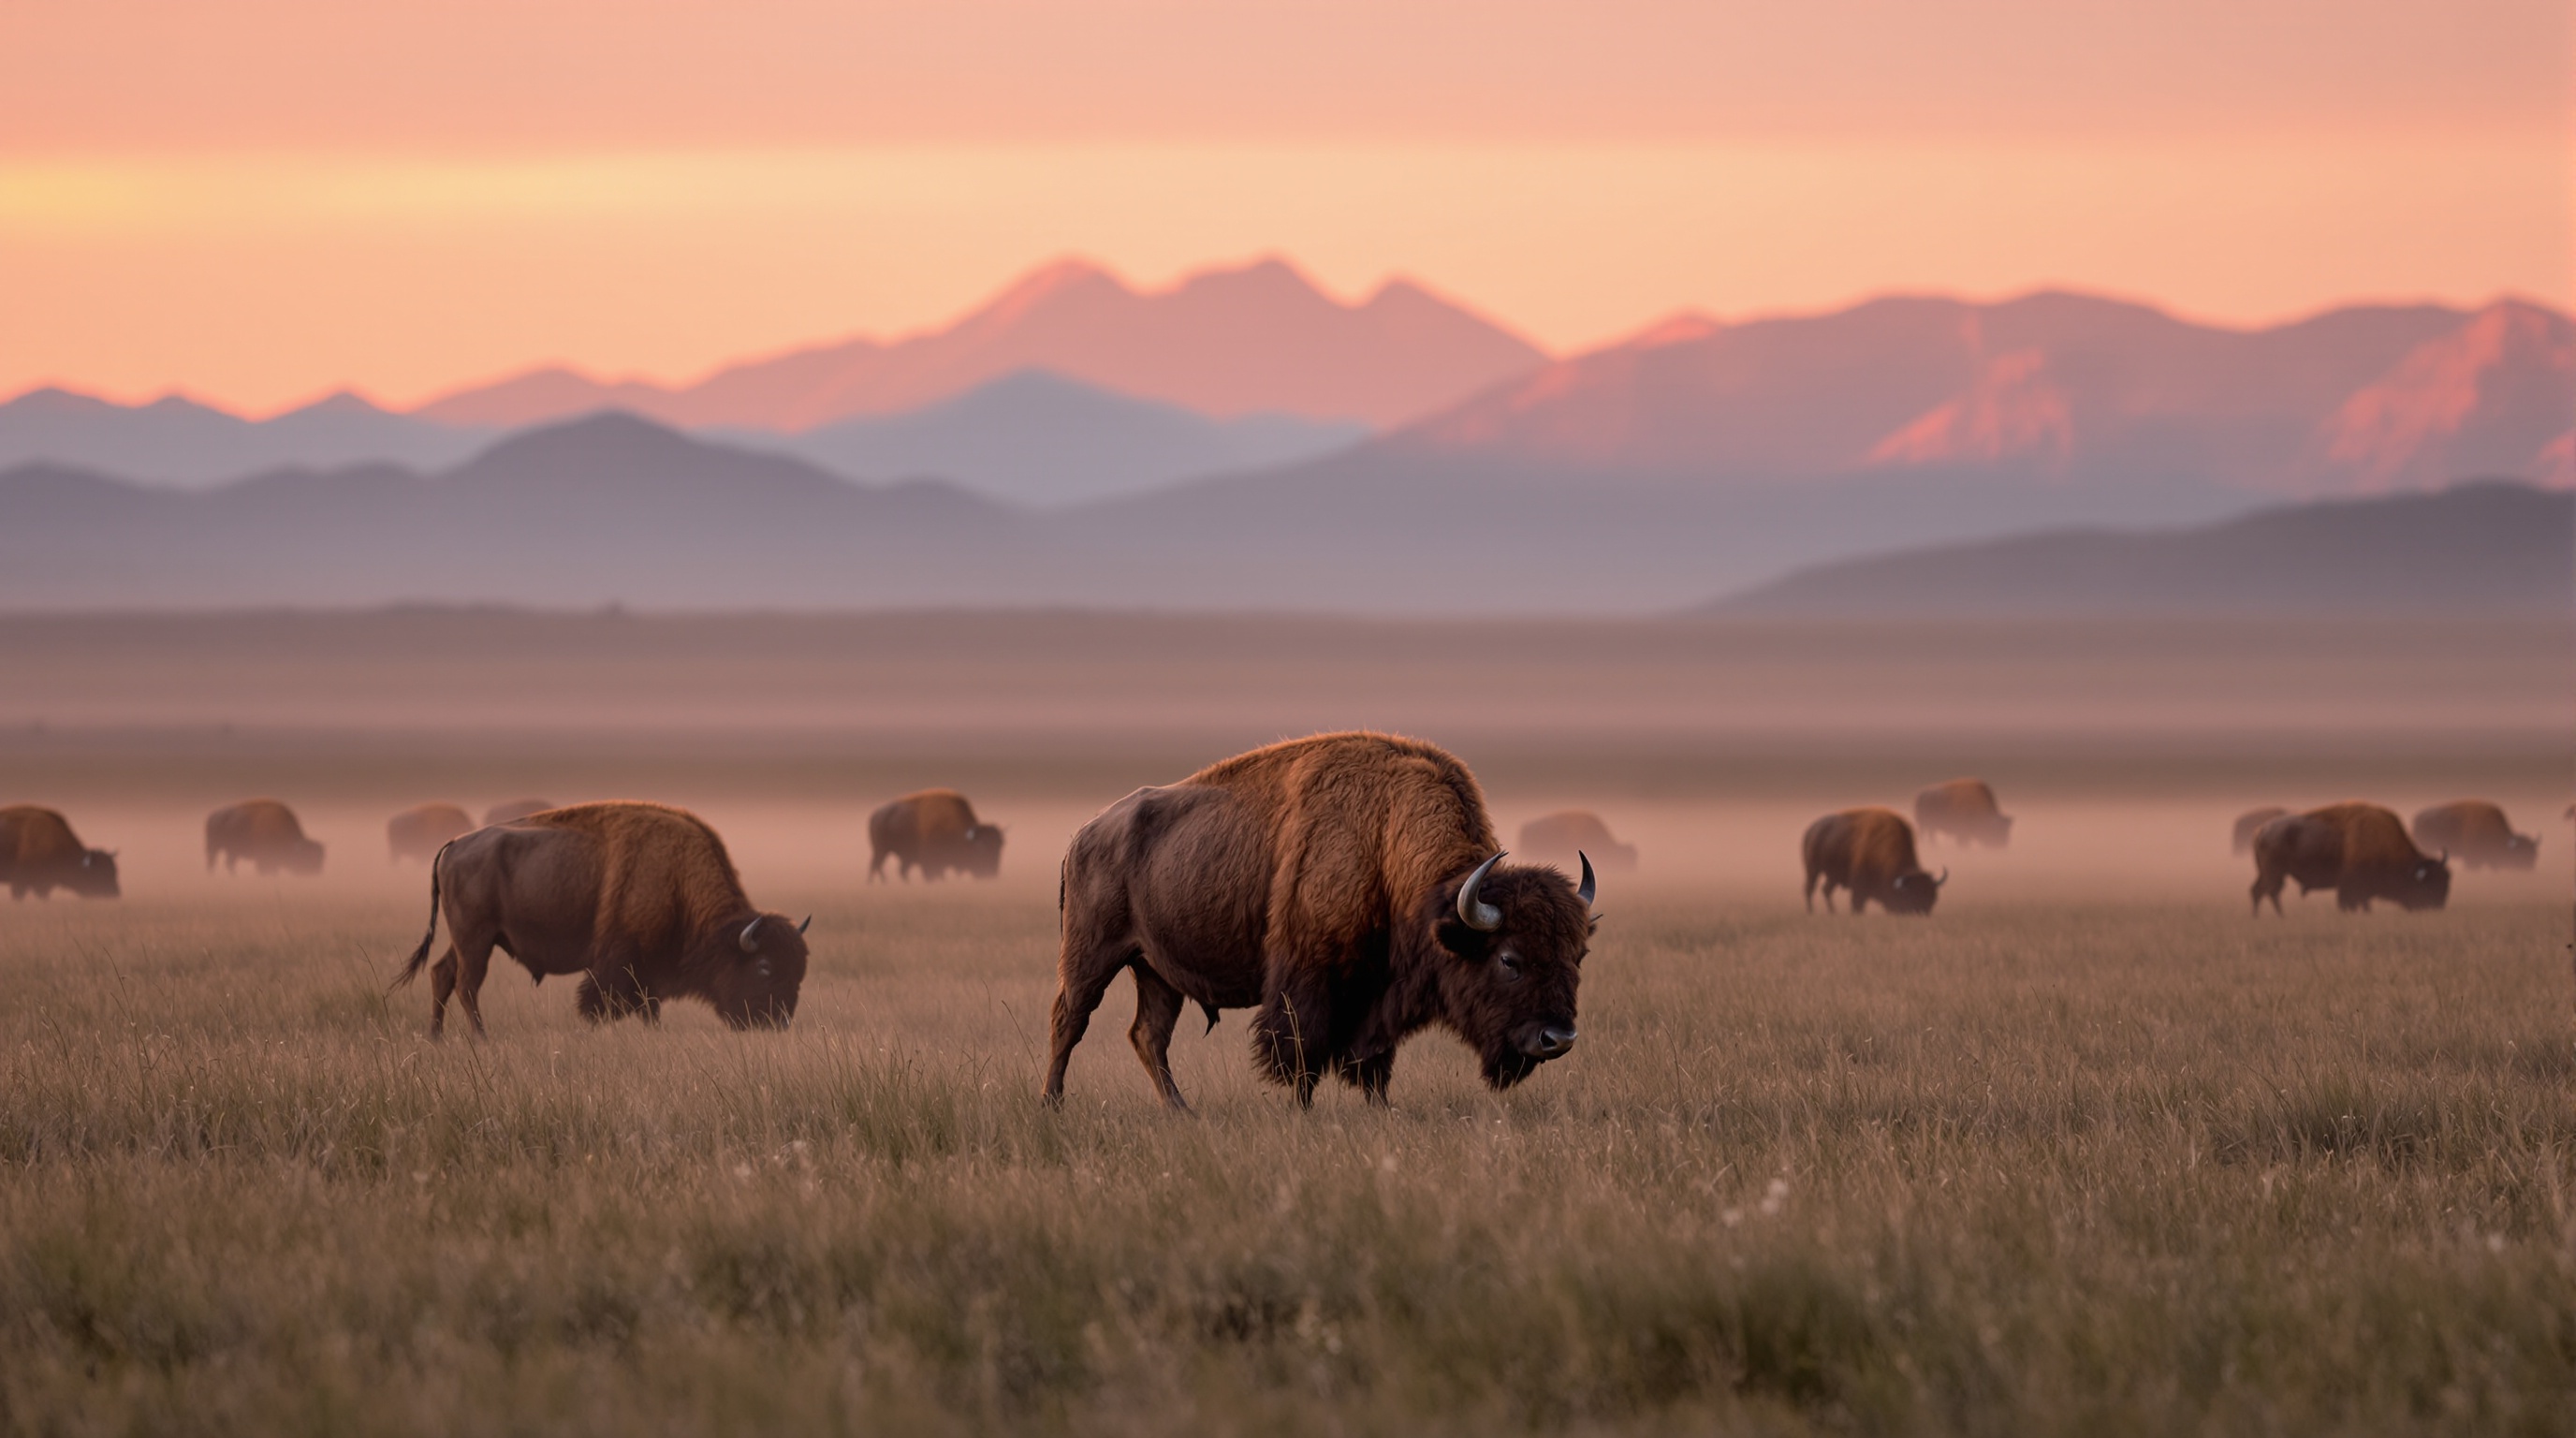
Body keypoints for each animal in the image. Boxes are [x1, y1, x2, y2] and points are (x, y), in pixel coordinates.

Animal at [394, 801, 807, 1038]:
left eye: (799, 969)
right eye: (764, 966)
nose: (778, 1023)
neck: (677, 878)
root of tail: (453, 845)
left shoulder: (648, 970)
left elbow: (649, 1005)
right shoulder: (622, 960)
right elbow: (607, 1000)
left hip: (469, 940)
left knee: (442, 974)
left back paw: (436, 1037)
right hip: (476, 939)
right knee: (466, 984)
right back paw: (480, 1038)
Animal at [868, 789, 1003, 881]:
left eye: (999, 848)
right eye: (980, 848)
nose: (991, 875)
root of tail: (875, 815)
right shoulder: (928, 863)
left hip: (899, 855)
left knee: (897, 870)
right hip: (881, 850)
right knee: (876, 866)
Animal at [1045, 732, 1595, 1110]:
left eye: (1577, 956)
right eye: (1509, 959)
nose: (1558, 1040)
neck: (1384, 838)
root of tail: (1084, 834)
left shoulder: (1377, 996)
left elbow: (1373, 1063)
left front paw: (1381, 1109)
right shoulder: (1308, 980)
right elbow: (1301, 1054)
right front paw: (1302, 1111)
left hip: (1157, 973)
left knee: (1148, 1037)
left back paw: (1183, 1113)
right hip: (1092, 956)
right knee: (1069, 1022)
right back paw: (1053, 1106)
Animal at [1803, 808, 1945, 915]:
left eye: (1933, 897)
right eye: (1911, 896)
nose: (1923, 913)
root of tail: (1811, 830)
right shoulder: (1858, 891)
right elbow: (1857, 906)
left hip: (1833, 876)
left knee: (1826, 890)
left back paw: (1833, 912)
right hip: (1813, 869)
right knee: (1810, 889)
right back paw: (1811, 912)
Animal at [2251, 802, 2450, 915]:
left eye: (2446, 881)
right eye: (2428, 883)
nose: (2437, 907)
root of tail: (2262, 831)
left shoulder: (2361, 890)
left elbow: (2364, 905)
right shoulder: (2350, 887)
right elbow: (2350, 903)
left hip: (2268, 873)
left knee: (2257, 891)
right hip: (2275, 873)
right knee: (2270, 892)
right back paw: (2280, 917)